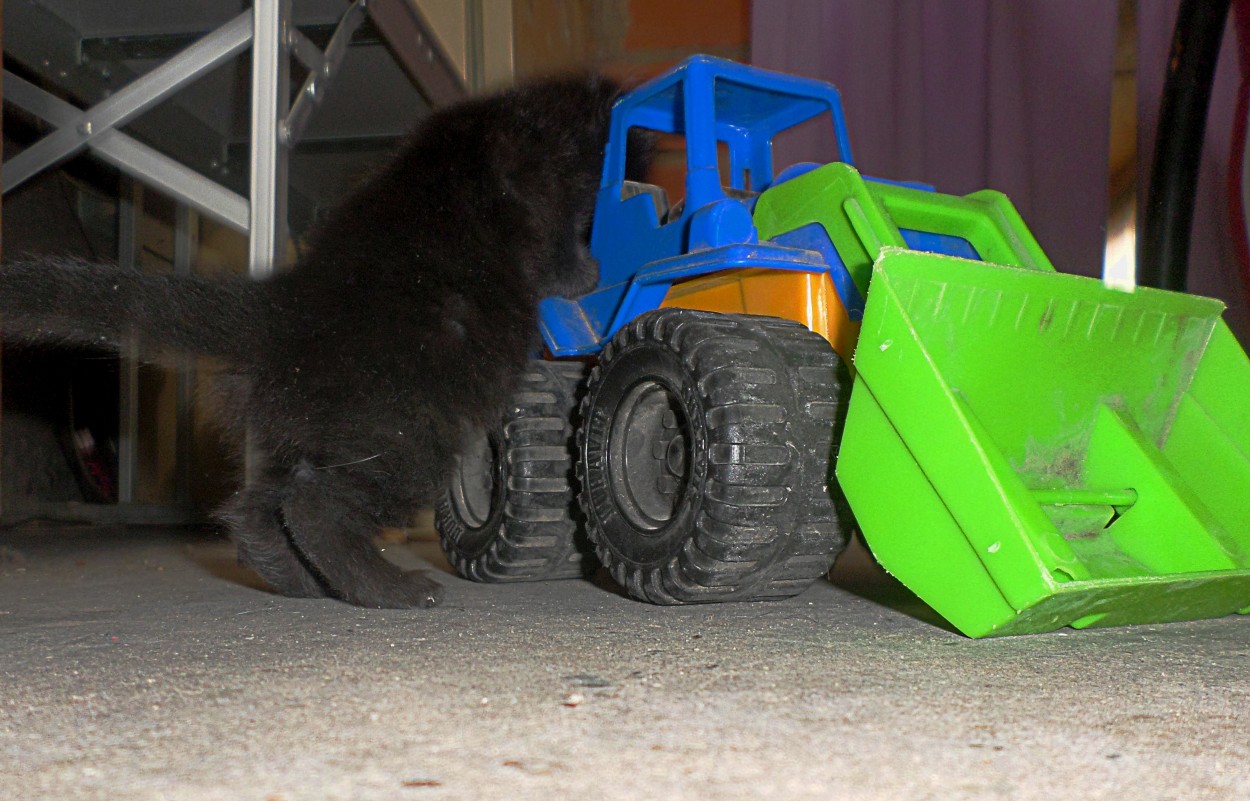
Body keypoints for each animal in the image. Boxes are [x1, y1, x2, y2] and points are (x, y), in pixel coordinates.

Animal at [0, 74, 630, 609]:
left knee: (257, 506)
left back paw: (295, 579)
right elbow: (559, 255)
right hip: (406, 425)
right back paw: (390, 589)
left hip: (301, 427)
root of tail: (285, 307)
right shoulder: (541, 190)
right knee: (315, 506)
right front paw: (589, 271)